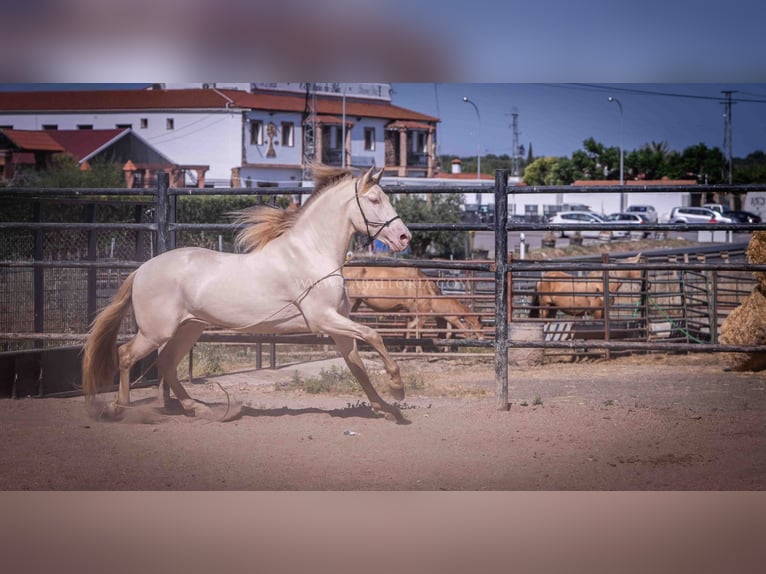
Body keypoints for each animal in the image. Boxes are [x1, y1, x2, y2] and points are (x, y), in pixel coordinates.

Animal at [82, 165, 414, 424]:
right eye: (374, 199)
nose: (404, 237)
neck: (311, 254)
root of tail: (142, 270)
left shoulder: (338, 328)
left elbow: (358, 367)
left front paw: (387, 408)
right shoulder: (323, 320)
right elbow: (373, 335)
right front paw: (398, 387)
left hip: (189, 328)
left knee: (166, 364)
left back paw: (197, 409)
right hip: (156, 331)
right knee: (126, 355)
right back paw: (118, 408)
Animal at [344, 266, 484, 346]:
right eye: (481, 326)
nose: (482, 339)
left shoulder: (411, 311)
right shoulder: (414, 310)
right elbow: (416, 329)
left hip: (356, 302)